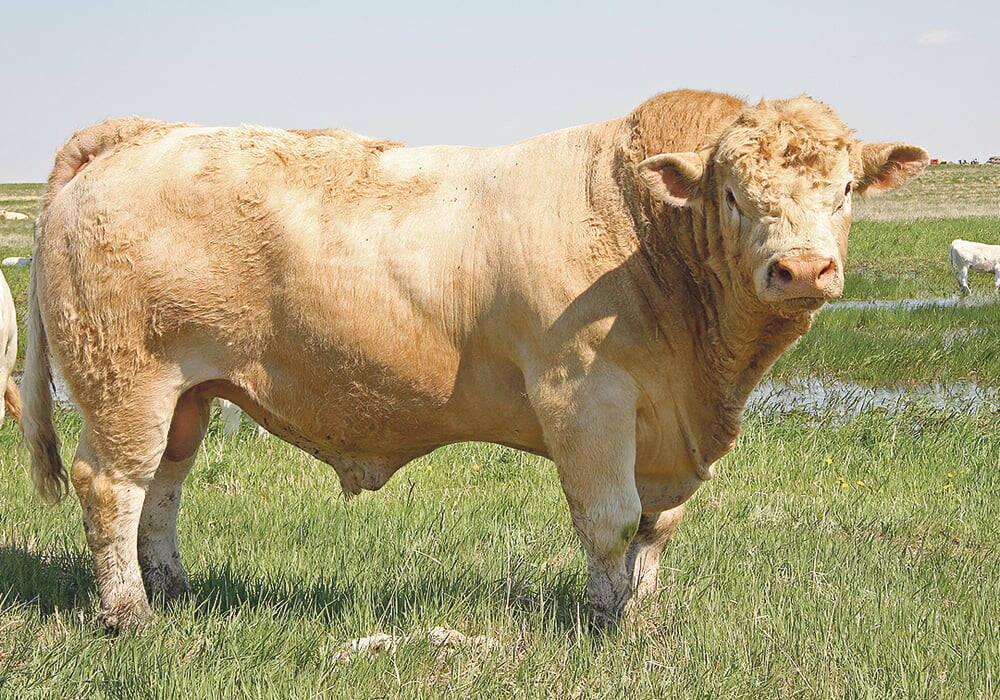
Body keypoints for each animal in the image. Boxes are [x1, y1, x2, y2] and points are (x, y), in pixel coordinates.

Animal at [21, 90, 927, 629]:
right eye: (732, 194)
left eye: (846, 189)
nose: (801, 269)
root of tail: (138, 135)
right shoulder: (584, 396)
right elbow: (611, 518)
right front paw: (605, 623)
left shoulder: (670, 429)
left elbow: (657, 526)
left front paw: (641, 614)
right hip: (126, 380)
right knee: (114, 485)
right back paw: (130, 614)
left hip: (187, 392)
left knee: (164, 487)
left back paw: (174, 590)